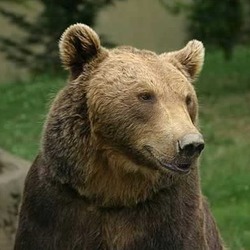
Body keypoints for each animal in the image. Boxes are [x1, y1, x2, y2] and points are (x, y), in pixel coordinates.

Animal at [14, 23, 225, 250]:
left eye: (187, 99)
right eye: (146, 95)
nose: (191, 144)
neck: (115, 191)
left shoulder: (172, 211)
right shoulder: (53, 205)